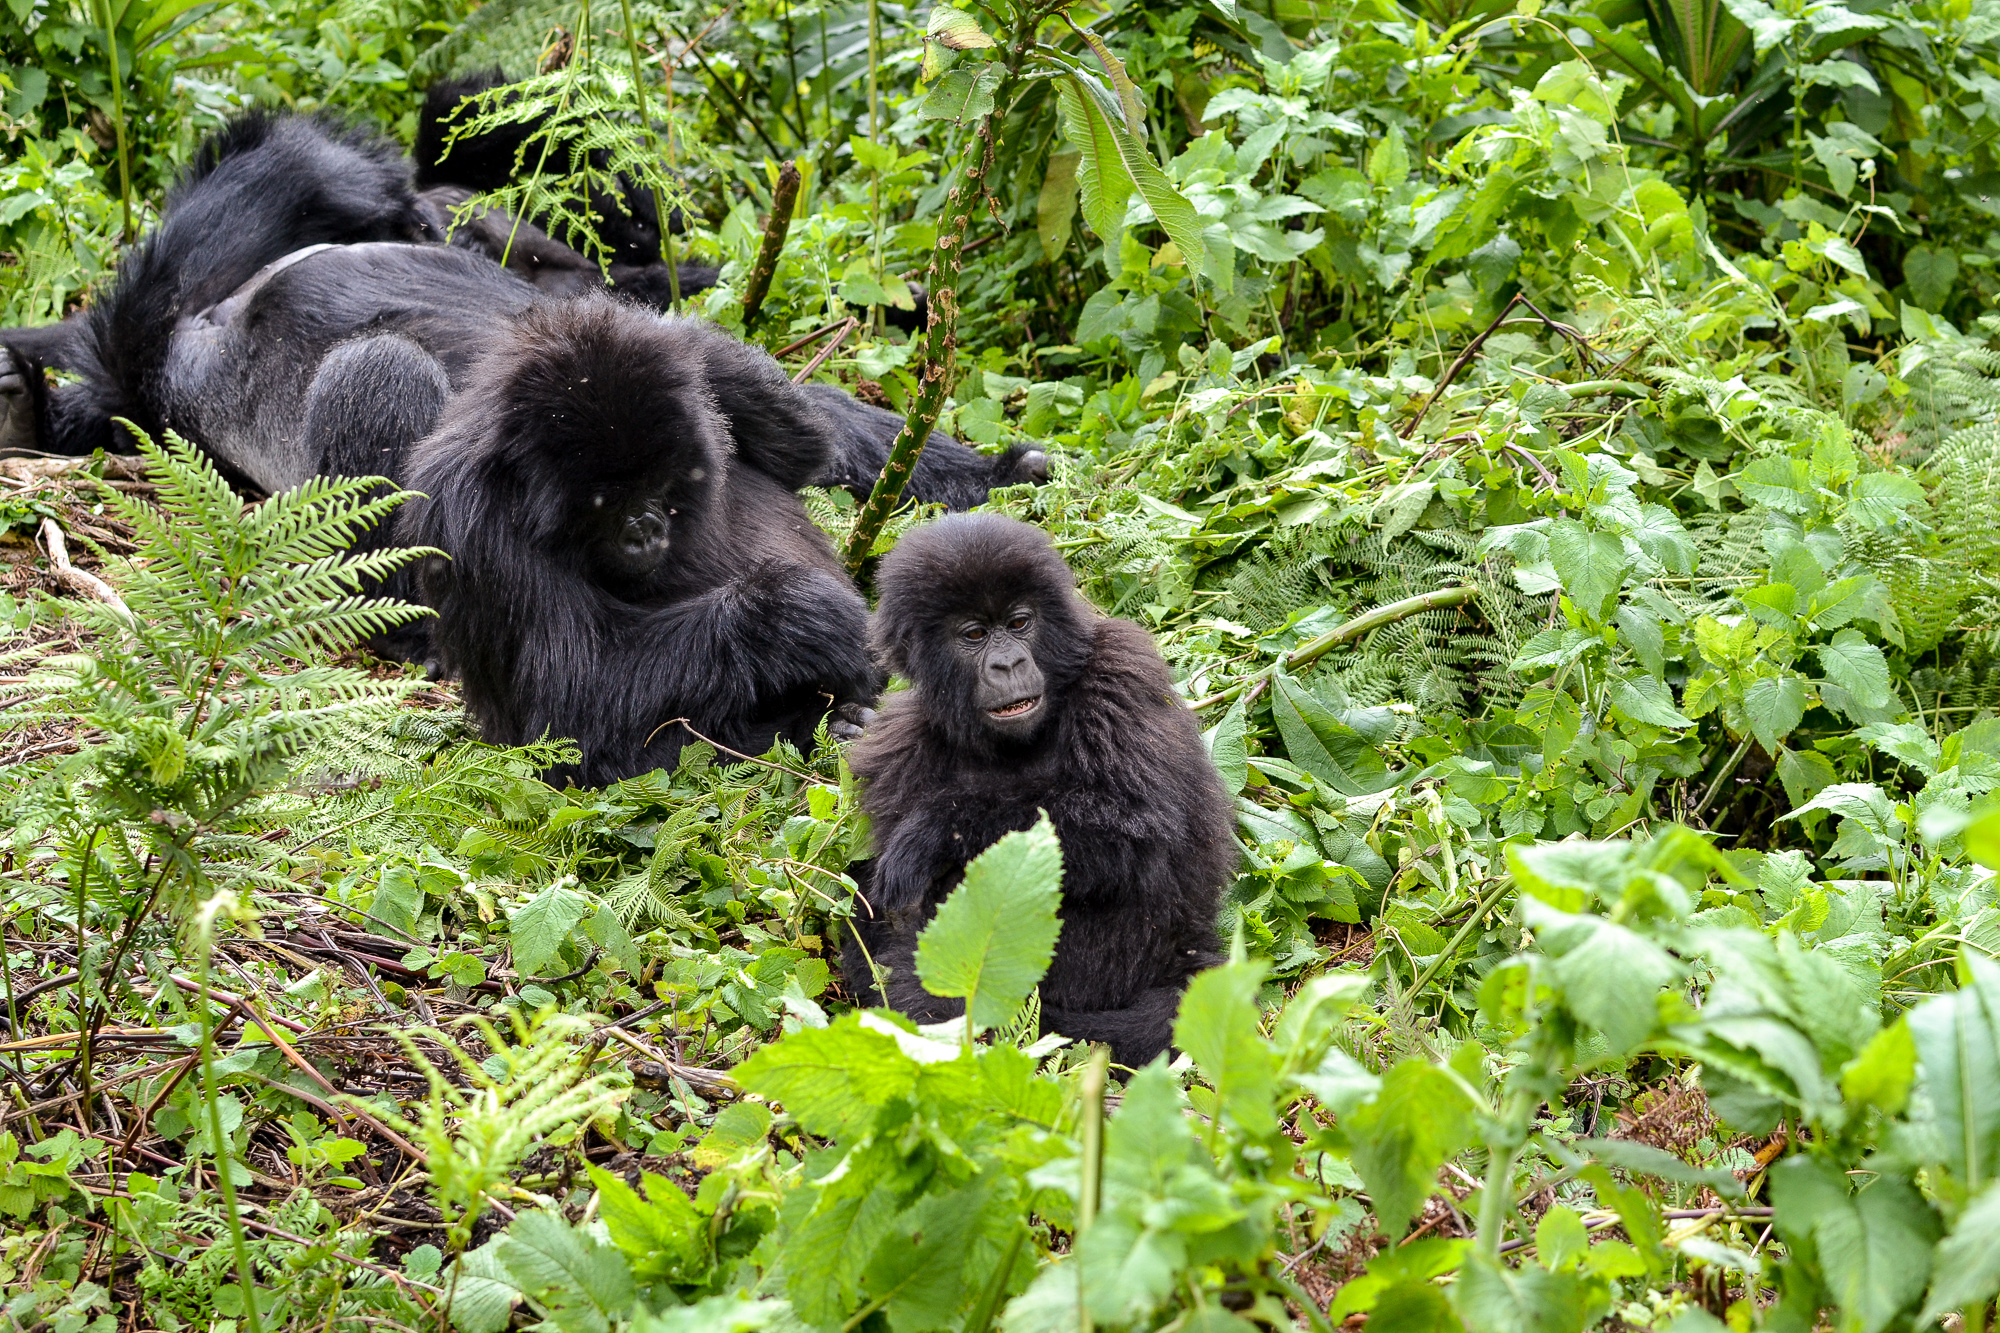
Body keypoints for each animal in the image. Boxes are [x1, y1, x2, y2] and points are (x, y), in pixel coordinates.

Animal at [398, 296, 876, 784]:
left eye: (656, 483)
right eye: (604, 503)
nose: (645, 530)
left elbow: (806, 449)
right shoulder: (470, 517)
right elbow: (571, 714)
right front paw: (799, 615)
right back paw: (823, 725)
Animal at [832, 512, 1232, 1064]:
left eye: (1020, 623)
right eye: (975, 634)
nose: (1009, 665)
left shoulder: (1120, 674)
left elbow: (1133, 824)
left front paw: (932, 832)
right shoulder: (899, 744)